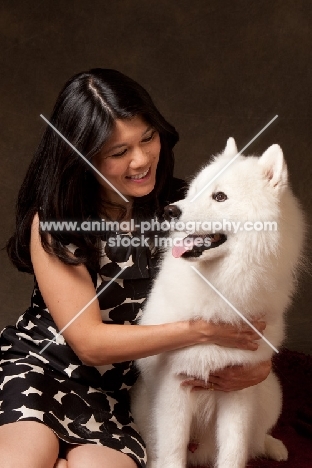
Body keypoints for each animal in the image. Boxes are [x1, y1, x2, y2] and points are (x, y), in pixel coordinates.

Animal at [132, 137, 304, 466]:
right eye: (194, 190)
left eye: (220, 196)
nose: (169, 210)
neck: (219, 284)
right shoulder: (176, 386)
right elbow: (172, 450)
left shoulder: (239, 387)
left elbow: (235, 449)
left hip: (270, 392)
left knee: (256, 438)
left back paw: (273, 446)